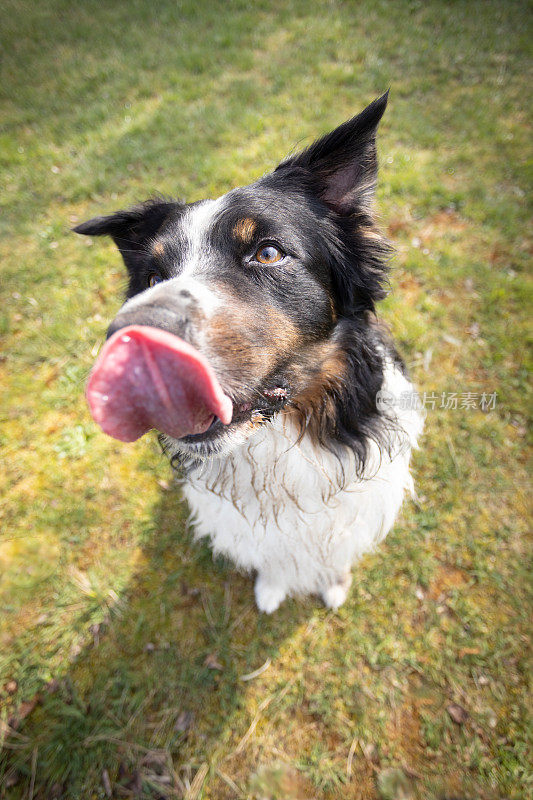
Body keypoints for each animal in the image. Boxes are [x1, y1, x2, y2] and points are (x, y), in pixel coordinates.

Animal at [76, 92, 424, 612]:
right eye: (153, 278)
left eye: (268, 253)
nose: (129, 340)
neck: (281, 439)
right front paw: (272, 588)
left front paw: (334, 583)